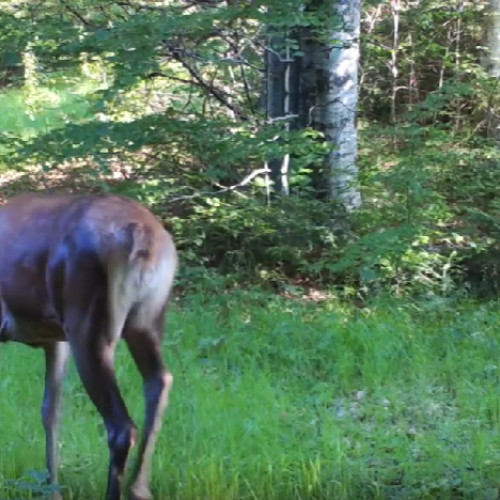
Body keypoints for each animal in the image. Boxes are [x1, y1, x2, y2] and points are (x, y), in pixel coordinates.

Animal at [0, 192, 179, 500]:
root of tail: (143, 236)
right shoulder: (55, 340)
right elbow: (51, 412)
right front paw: (53, 491)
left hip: (88, 320)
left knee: (121, 427)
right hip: (147, 318)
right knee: (159, 379)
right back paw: (139, 488)